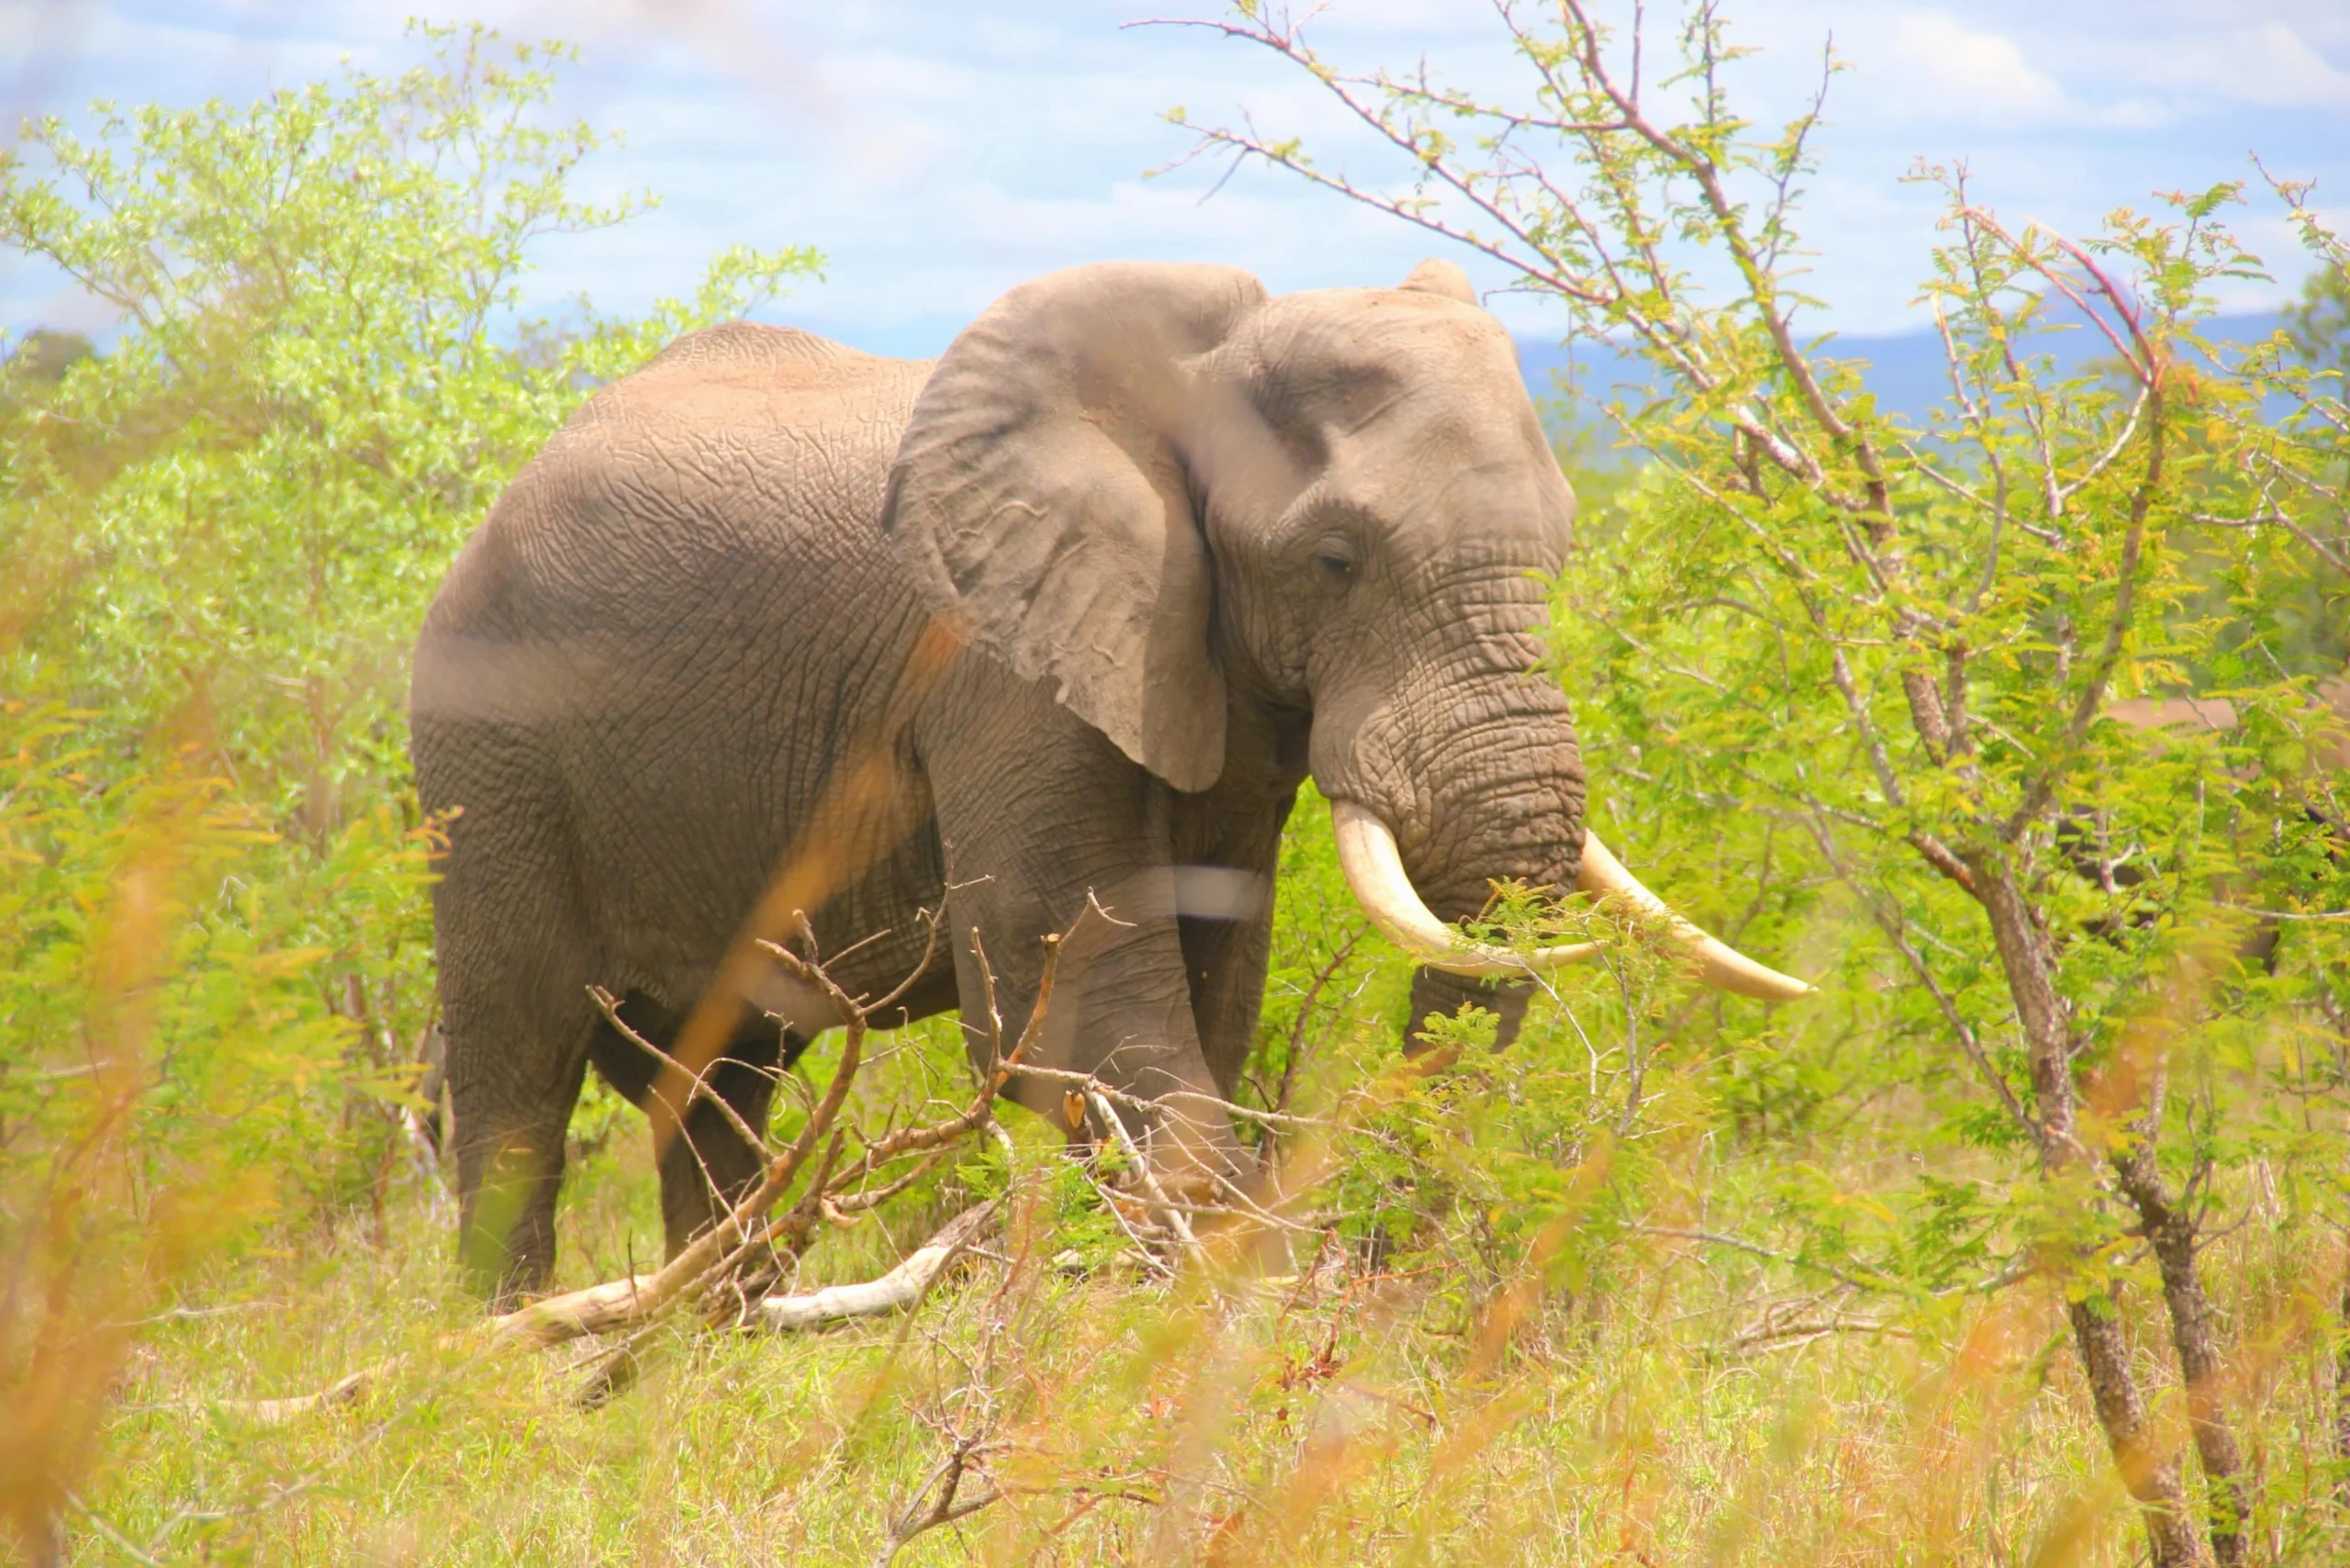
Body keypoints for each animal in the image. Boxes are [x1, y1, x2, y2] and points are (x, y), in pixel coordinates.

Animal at [409, 257, 1809, 1305]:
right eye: (1334, 559)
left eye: (1564, 544)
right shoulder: (997, 664)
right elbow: (1075, 1008)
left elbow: (1212, 986)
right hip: (487, 756)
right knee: (521, 1084)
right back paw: (511, 1374)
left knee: (719, 1095)